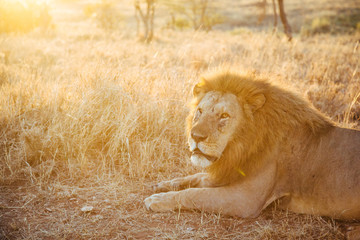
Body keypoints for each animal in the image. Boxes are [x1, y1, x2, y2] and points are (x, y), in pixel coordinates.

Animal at [144, 70, 360, 220]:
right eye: (200, 111)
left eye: (224, 116)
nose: (195, 136)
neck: (241, 146)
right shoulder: (229, 171)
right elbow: (197, 177)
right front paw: (162, 184)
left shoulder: (246, 199)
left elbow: (196, 194)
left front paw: (158, 199)